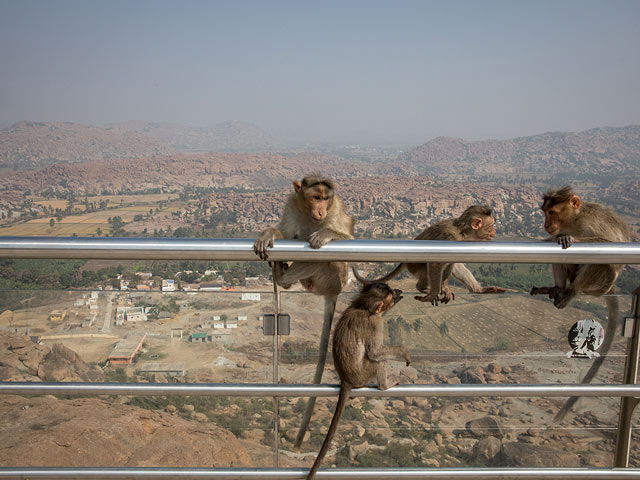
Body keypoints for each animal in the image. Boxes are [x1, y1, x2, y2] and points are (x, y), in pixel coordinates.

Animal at [254, 174, 356, 448]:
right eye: (315, 197)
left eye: (326, 198)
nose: (321, 211)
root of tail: (334, 292)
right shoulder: (291, 205)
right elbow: (287, 232)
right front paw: (268, 233)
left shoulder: (336, 209)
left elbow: (348, 236)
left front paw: (326, 234)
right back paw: (283, 276)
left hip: (331, 279)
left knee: (316, 259)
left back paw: (282, 277)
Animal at [306, 284, 410, 478]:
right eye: (391, 295)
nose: (398, 292)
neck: (362, 307)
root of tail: (346, 379)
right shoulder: (375, 323)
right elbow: (376, 352)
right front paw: (403, 352)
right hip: (363, 373)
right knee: (378, 360)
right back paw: (384, 385)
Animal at [352, 205, 498, 304]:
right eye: (491, 226)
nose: (494, 232)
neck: (463, 232)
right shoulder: (451, 238)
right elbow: (435, 263)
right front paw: (433, 294)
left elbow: (451, 262)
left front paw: (445, 287)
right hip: (415, 267)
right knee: (428, 268)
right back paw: (422, 287)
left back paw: (477, 290)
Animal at [528, 186, 632, 418]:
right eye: (545, 212)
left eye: (552, 212)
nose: (546, 225)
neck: (574, 221)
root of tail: (609, 289)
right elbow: (555, 240)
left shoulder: (592, 224)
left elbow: (610, 244)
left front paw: (572, 238)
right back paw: (556, 288)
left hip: (601, 285)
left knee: (602, 265)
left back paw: (571, 292)